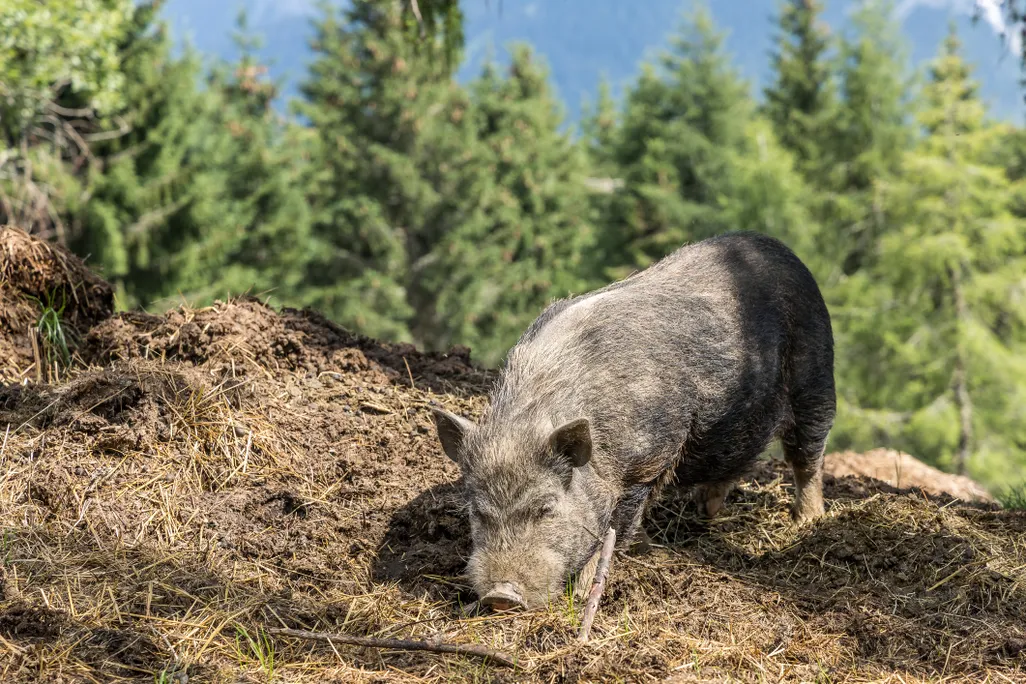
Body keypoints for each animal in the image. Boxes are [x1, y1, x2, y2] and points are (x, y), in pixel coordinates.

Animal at [431, 231, 835, 611]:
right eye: (477, 512)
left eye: (546, 508)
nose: (501, 596)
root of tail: (780, 249)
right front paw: (645, 549)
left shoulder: (647, 460)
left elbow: (615, 527)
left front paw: (584, 593)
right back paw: (705, 513)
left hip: (815, 376)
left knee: (808, 454)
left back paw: (808, 520)